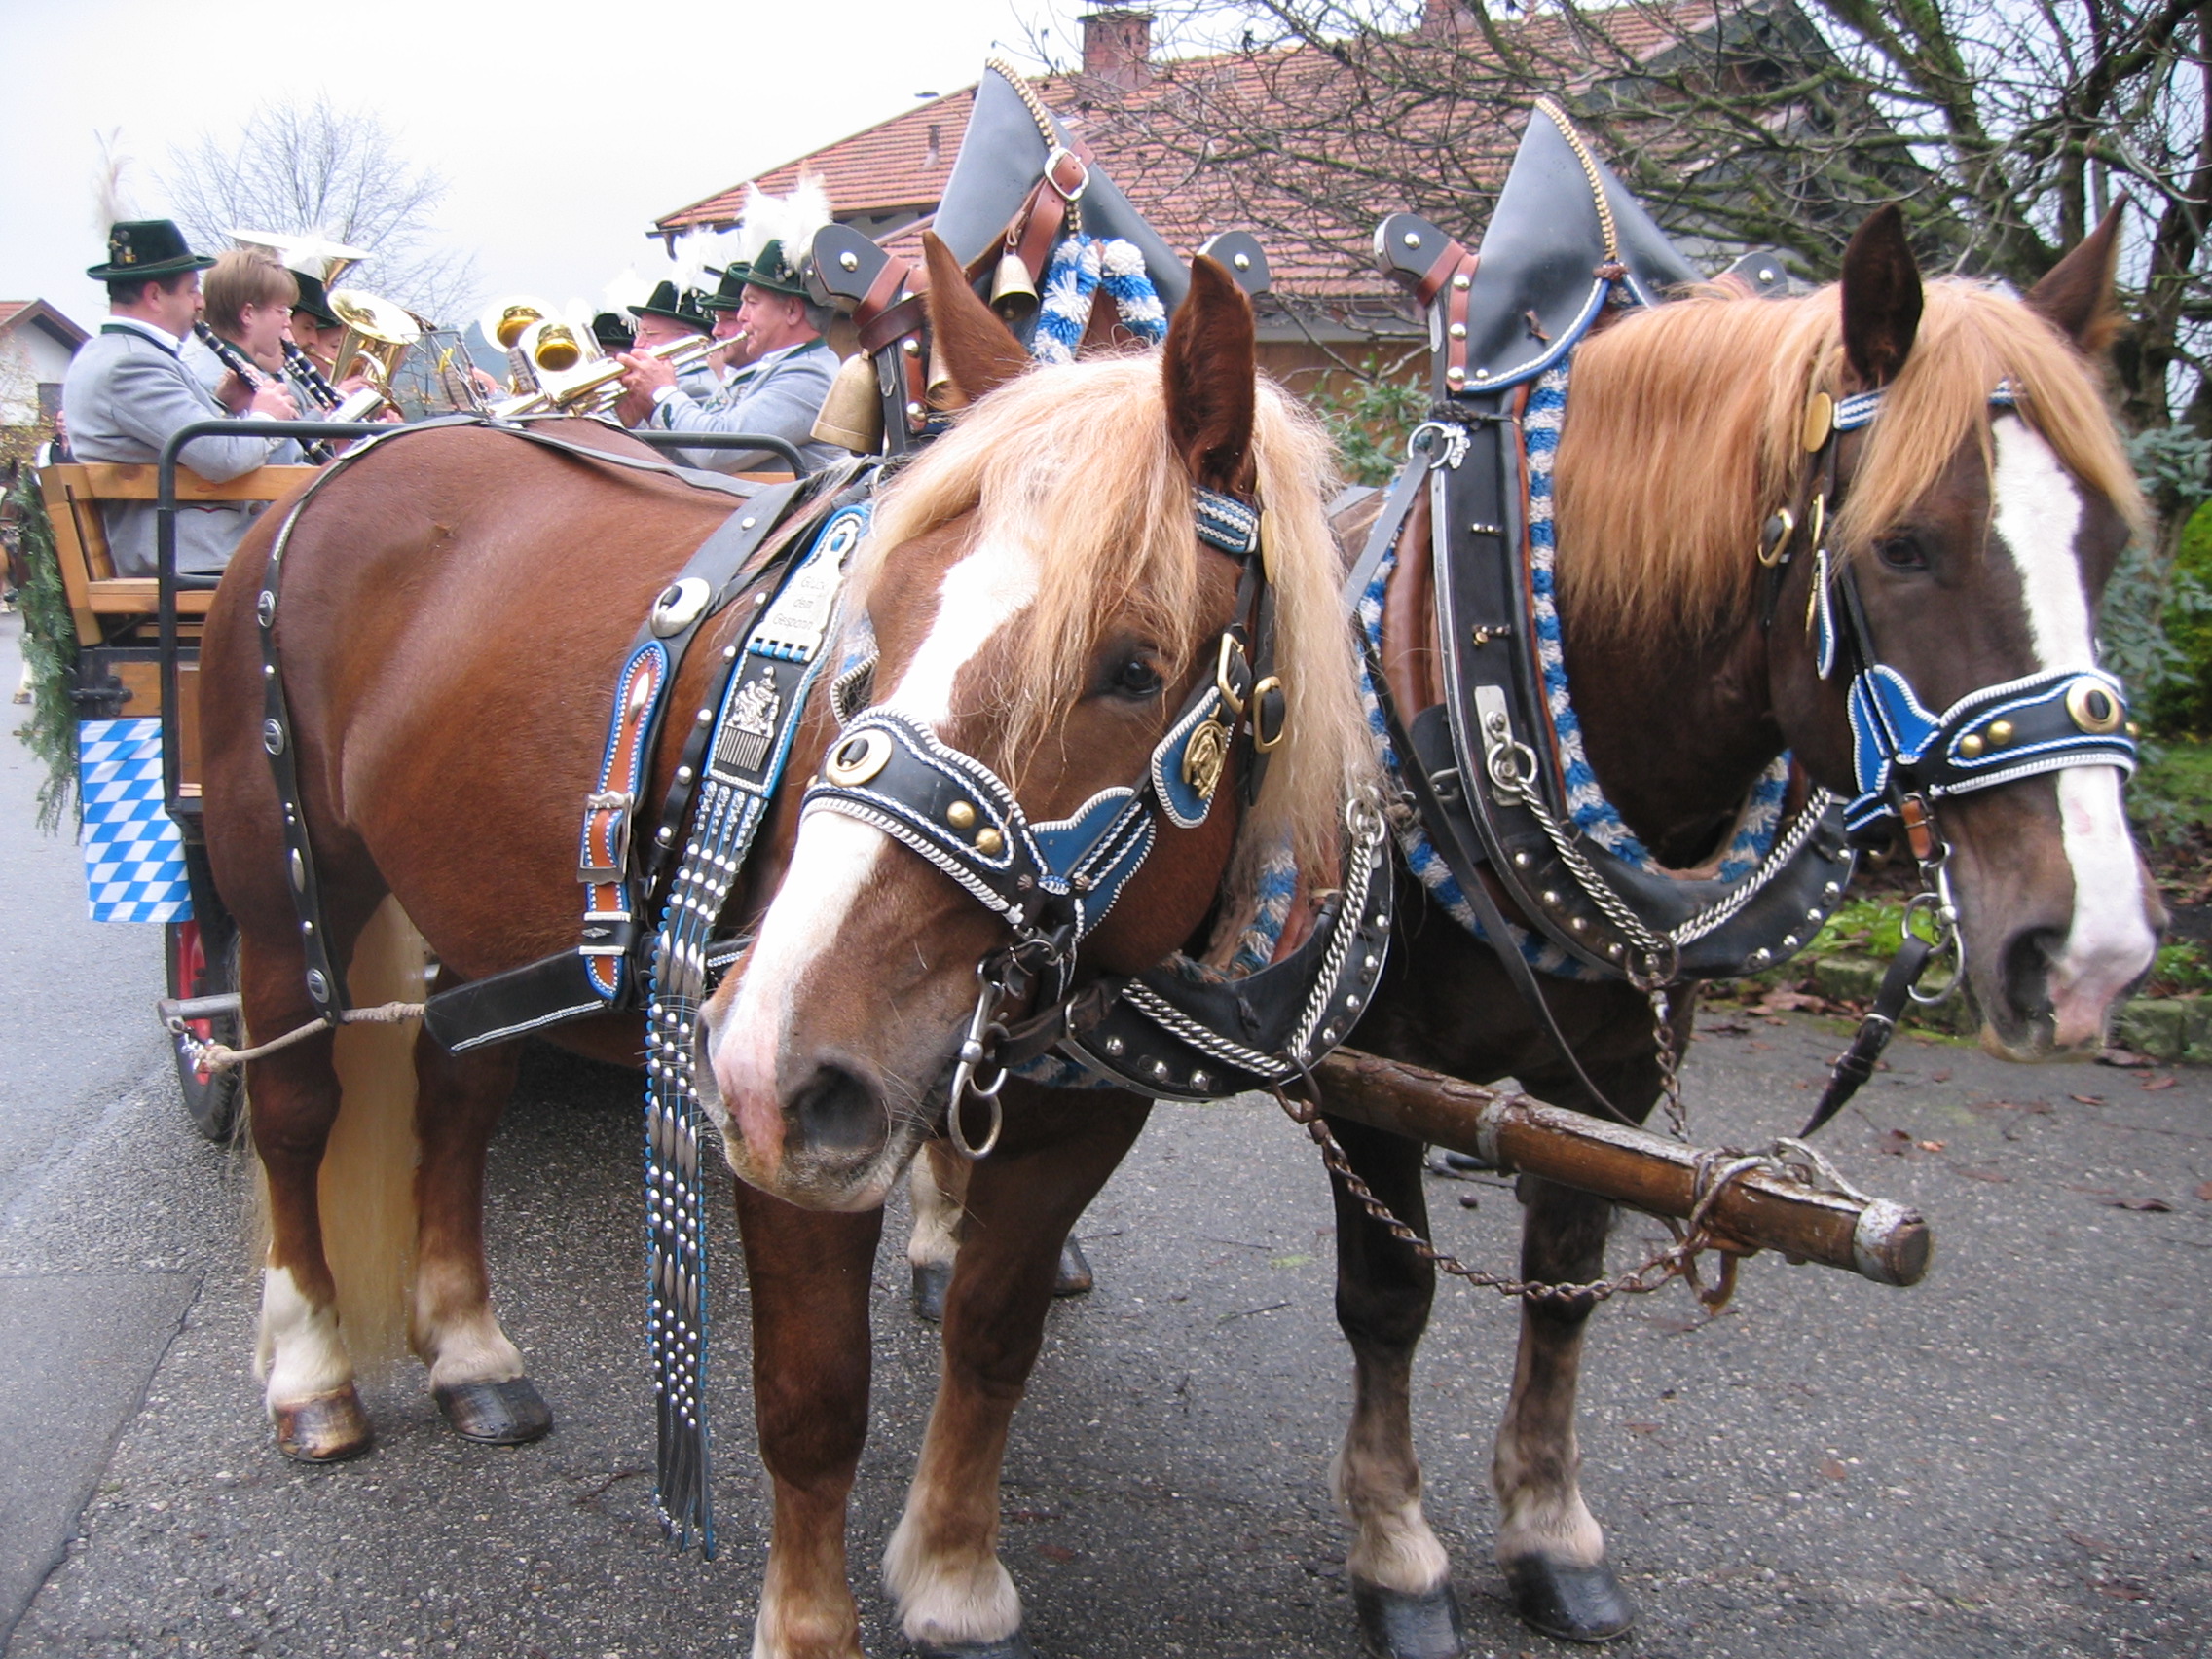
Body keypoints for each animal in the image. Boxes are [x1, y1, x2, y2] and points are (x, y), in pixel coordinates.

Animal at [703, 205, 2161, 1657]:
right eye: (1903, 544)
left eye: (2105, 547)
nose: (2086, 953)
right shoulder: (1377, 1073)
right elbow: (1389, 1298)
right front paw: (1397, 1550)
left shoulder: (1613, 1075)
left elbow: (1566, 1278)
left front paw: (1549, 1528)